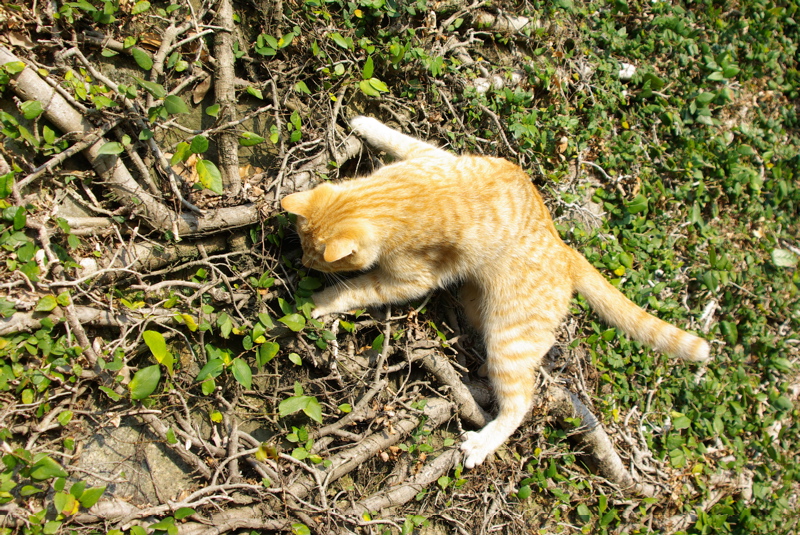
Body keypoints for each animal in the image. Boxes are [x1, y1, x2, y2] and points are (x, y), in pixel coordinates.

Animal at [282, 116, 712, 468]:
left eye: (319, 260)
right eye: (302, 242)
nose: (301, 261)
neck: (399, 197)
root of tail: (566, 250)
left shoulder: (408, 280)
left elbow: (357, 290)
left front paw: (318, 302)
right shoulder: (429, 154)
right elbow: (397, 137)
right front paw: (365, 124)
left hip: (509, 336)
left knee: (521, 401)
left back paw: (482, 444)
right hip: (479, 308)